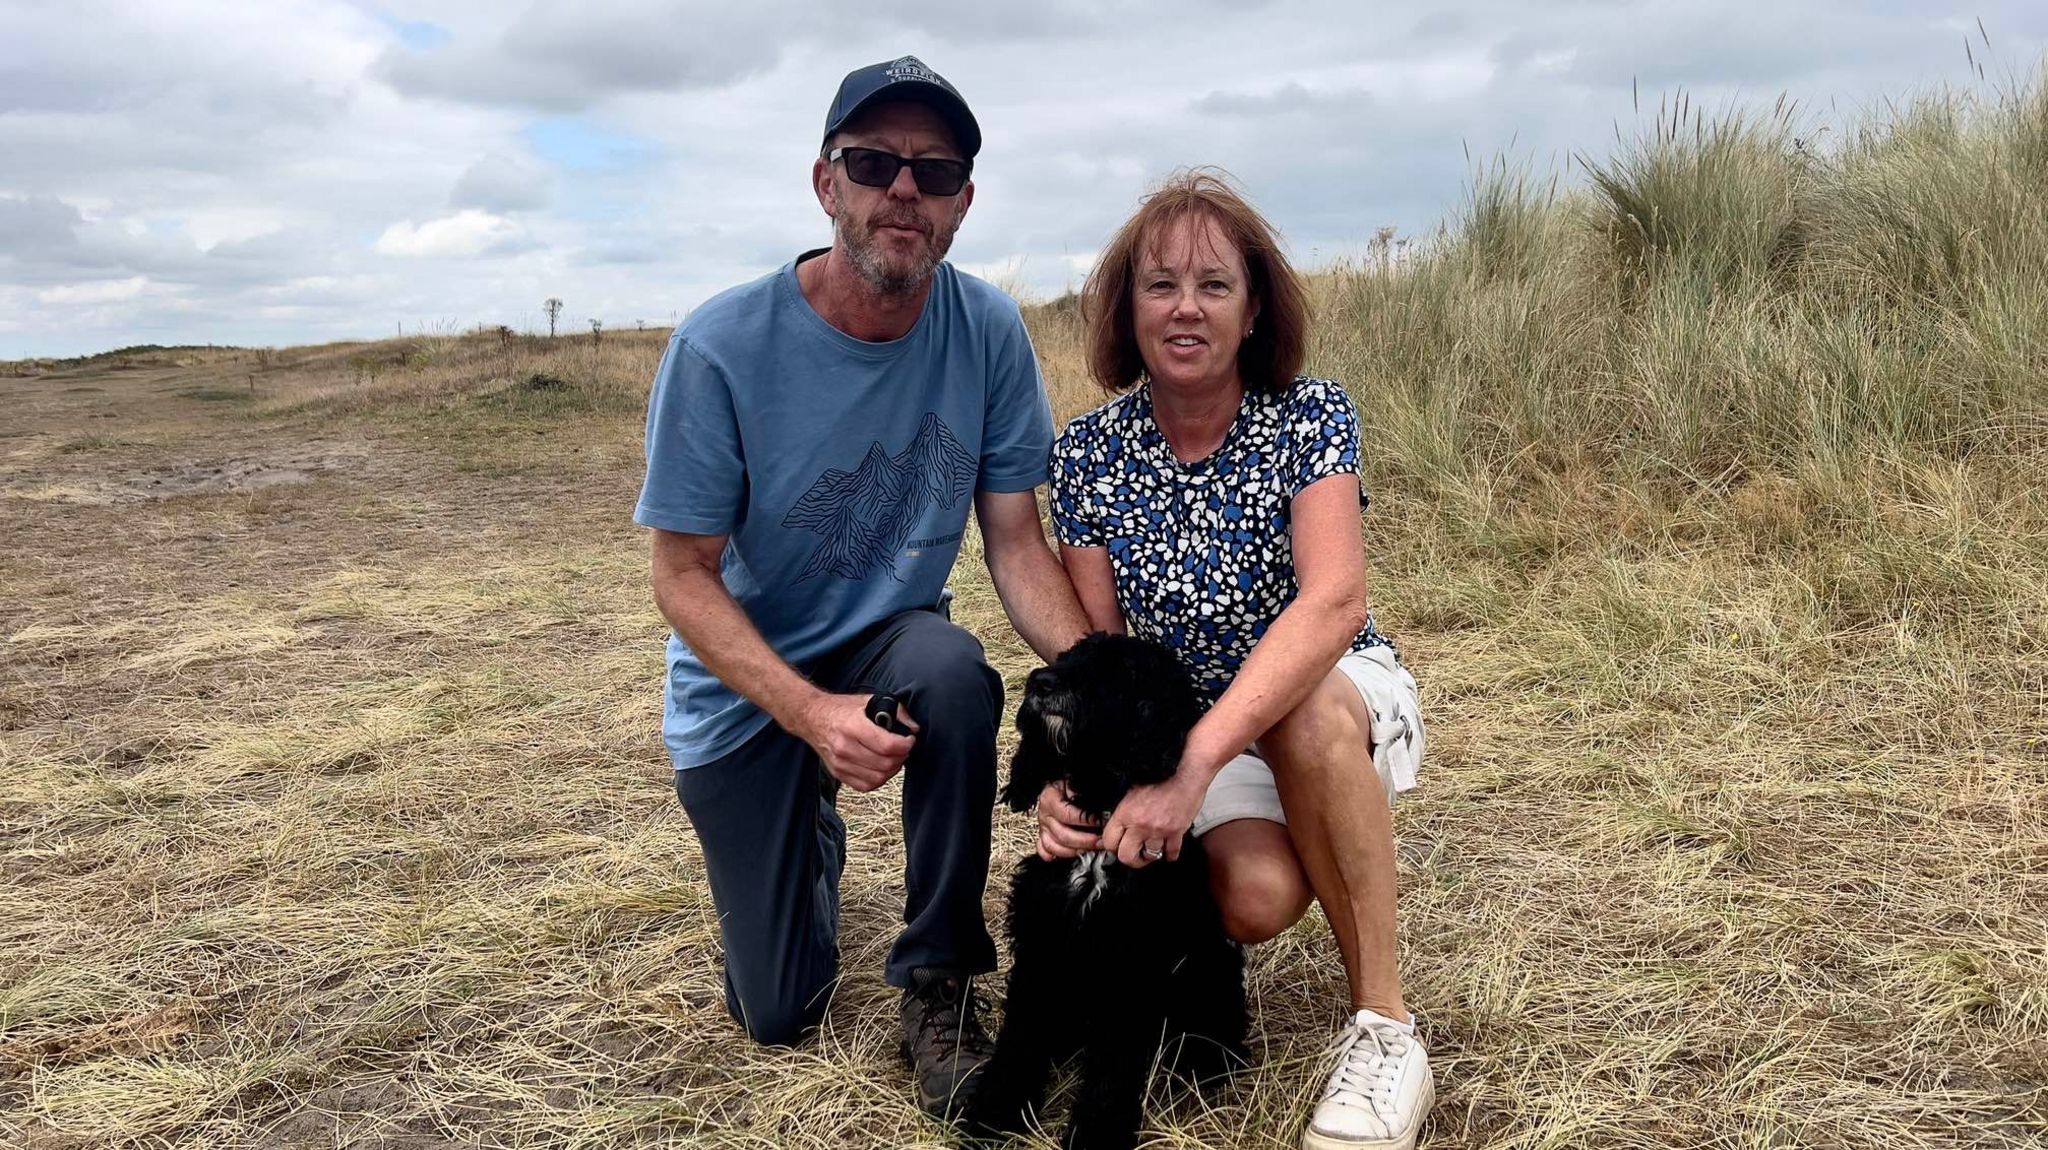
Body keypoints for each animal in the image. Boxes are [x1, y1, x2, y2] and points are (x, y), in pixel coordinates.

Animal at [962, 630, 1245, 1137]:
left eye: (1122, 671)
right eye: (1068, 655)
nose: (1042, 681)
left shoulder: (1131, 967)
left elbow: (1114, 1063)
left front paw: (1097, 1130)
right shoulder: (1041, 947)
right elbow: (1021, 1035)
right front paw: (995, 1110)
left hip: (1209, 965)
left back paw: (1203, 1062)